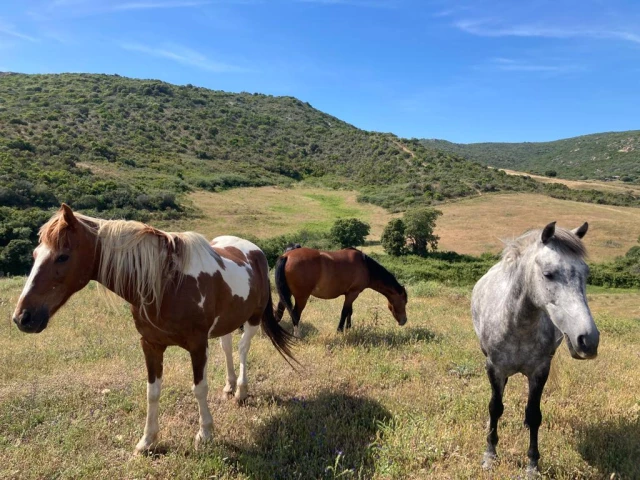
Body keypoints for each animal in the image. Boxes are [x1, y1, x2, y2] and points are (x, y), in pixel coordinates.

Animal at [12, 204, 295, 454]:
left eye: (63, 256)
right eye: (35, 255)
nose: (22, 317)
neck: (167, 284)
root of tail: (255, 250)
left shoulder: (197, 345)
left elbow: (199, 388)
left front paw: (204, 433)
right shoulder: (150, 345)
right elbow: (153, 392)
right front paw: (147, 440)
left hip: (253, 319)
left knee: (243, 348)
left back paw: (241, 392)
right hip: (227, 321)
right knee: (227, 347)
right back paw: (229, 386)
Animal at [274, 247, 408, 337]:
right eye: (404, 301)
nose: (404, 321)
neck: (365, 266)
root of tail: (287, 256)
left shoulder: (350, 293)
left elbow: (349, 311)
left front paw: (348, 328)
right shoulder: (353, 293)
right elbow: (344, 312)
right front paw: (339, 330)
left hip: (287, 294)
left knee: (280, 310)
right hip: (302, 297)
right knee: (295, 314)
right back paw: (297, 335)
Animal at [471, 221, 599, 475]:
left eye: (586, 274)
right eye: (548, 274)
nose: (588, 340)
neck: (517, 323)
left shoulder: (540, 371)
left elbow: (533, 414)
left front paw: (532, 464)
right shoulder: (494, 368)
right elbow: (495, 407)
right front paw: (490, 454)